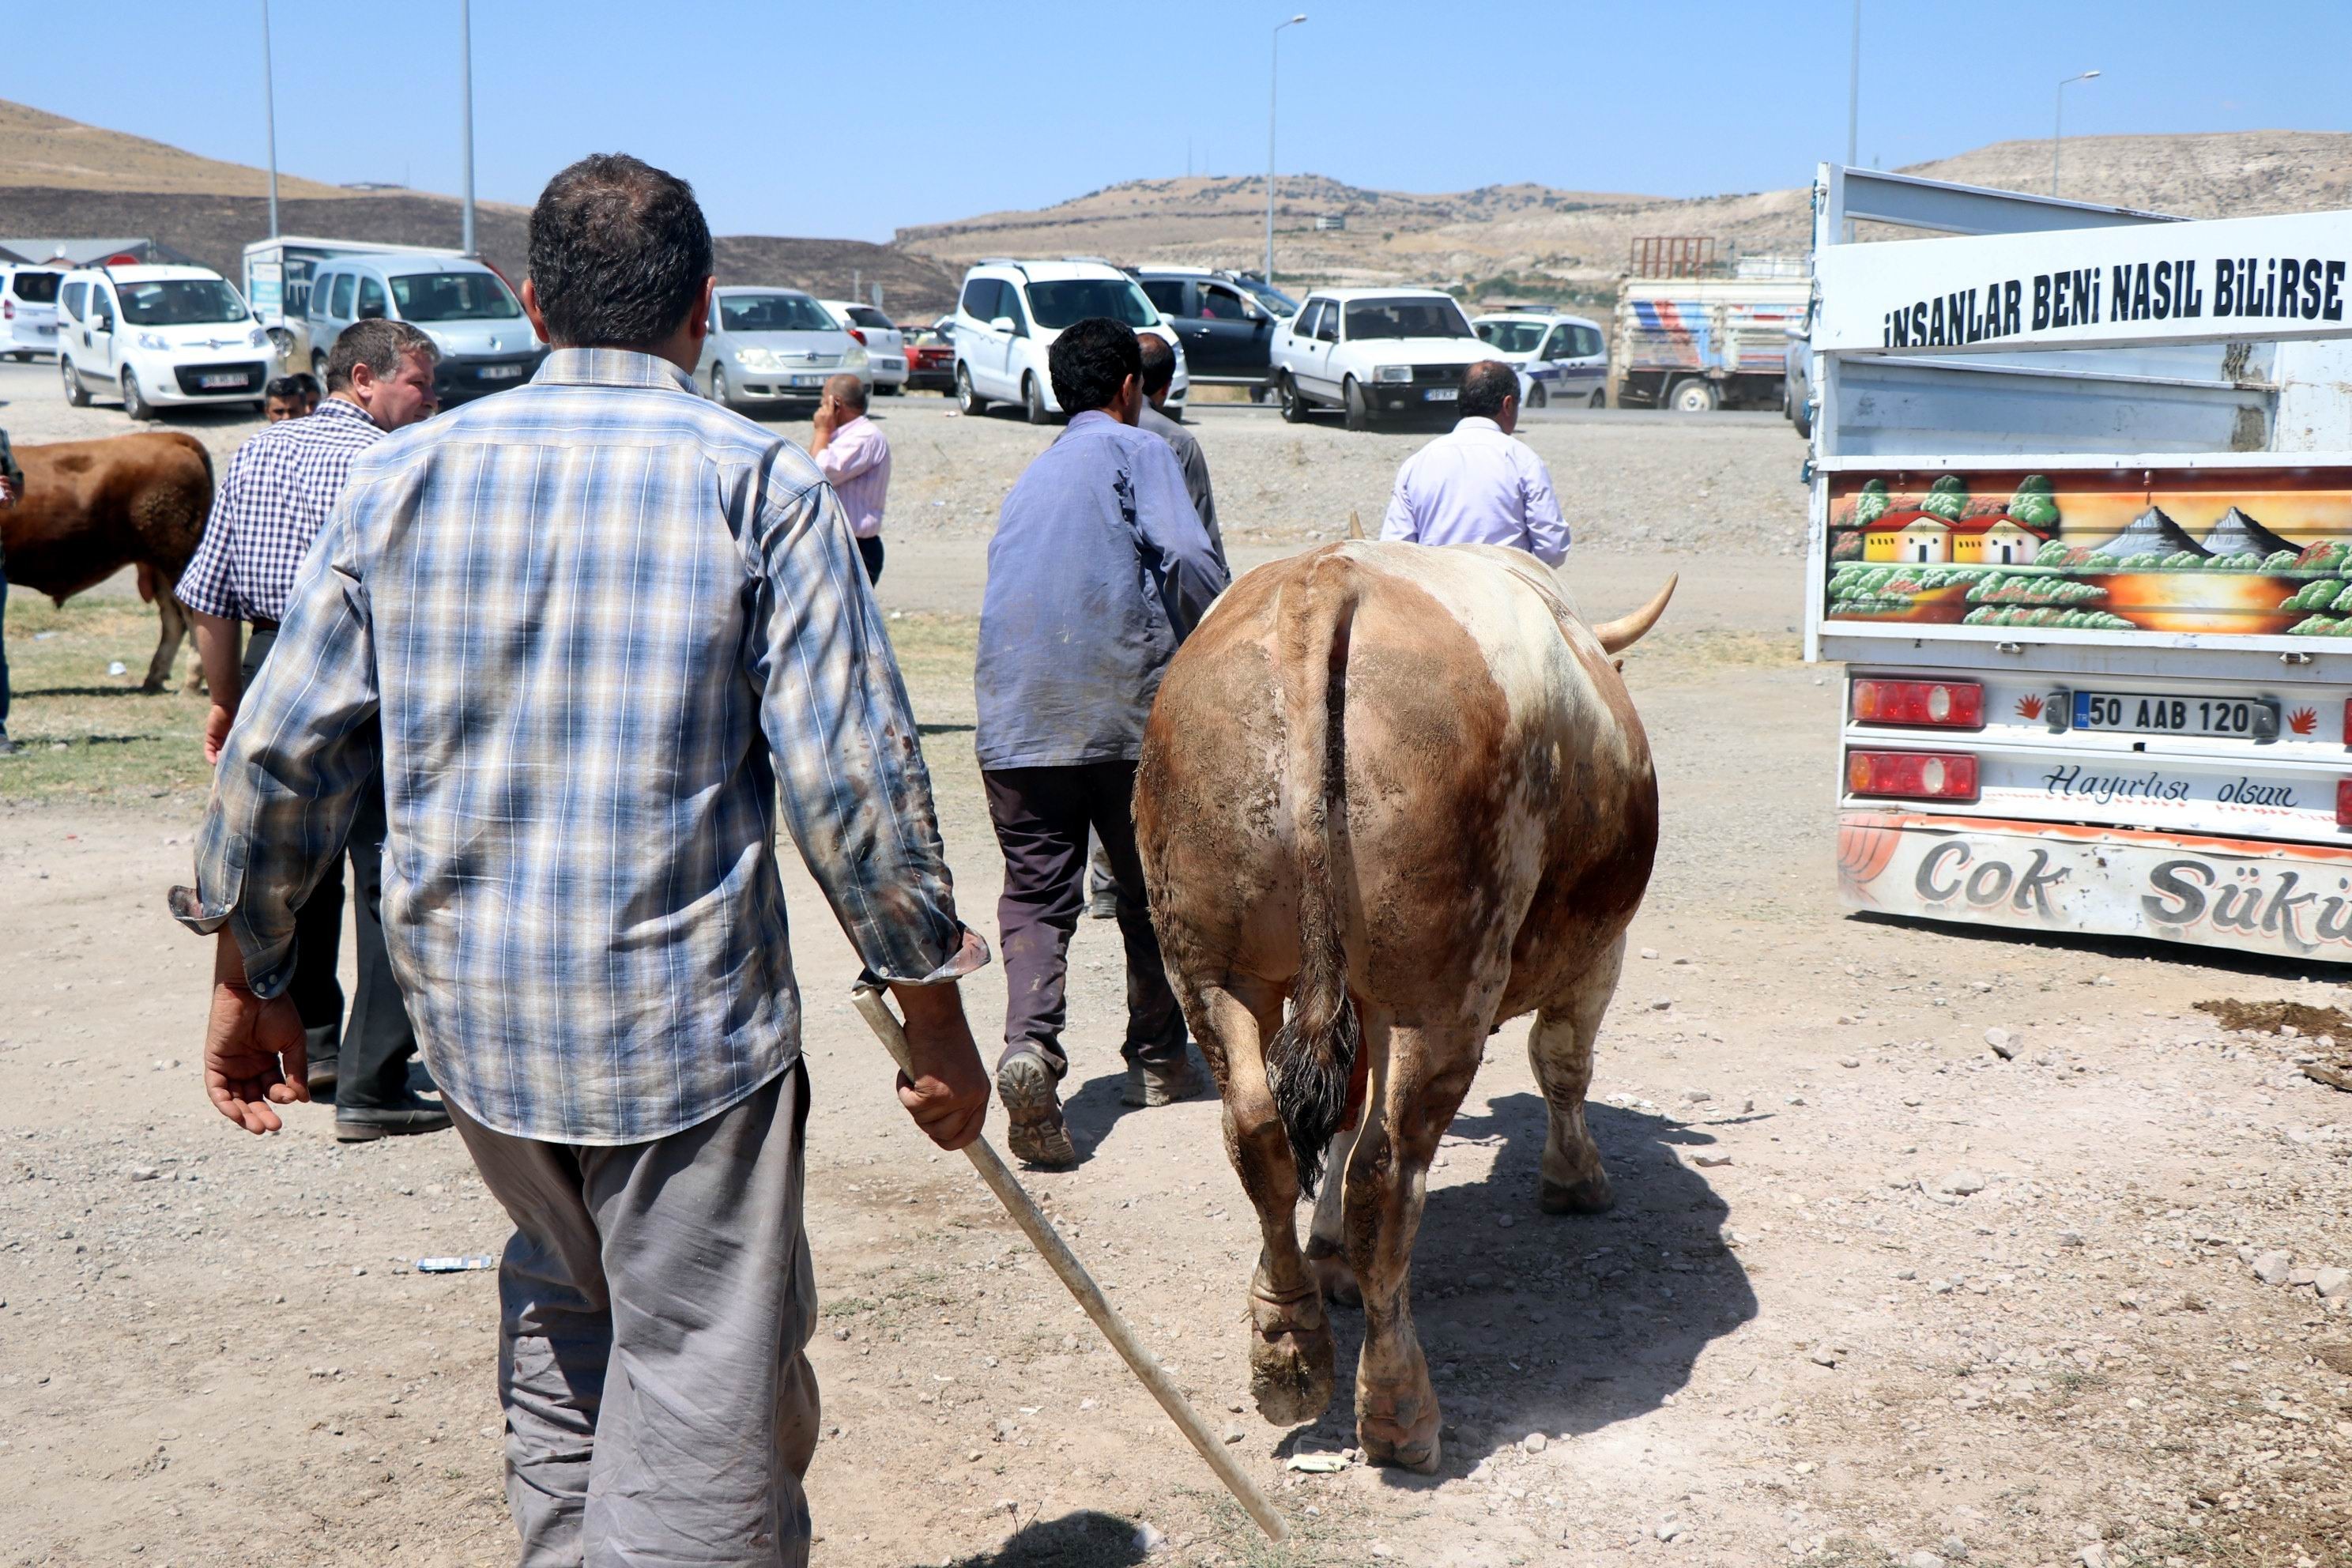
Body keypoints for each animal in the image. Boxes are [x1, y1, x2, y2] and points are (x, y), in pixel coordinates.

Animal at [2, 435, 215, 691]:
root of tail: (169, 437)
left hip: (176, 557)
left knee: (192, 615)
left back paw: (191, 680)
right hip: (158, 564)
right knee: (174, 618)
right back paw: (155, 677)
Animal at [1129, 536, 1665, 1476]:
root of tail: (1322, 582)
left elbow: (1341, 1119)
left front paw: (1328, 1256)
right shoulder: (1599, 952)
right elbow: (1563, 1064)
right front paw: (1575, 1178)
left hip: (1211, 968)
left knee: (1259, 1132)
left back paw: (1288, 1342)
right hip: (1439, 995)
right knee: (1390, 1174)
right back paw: (1397, 1404)